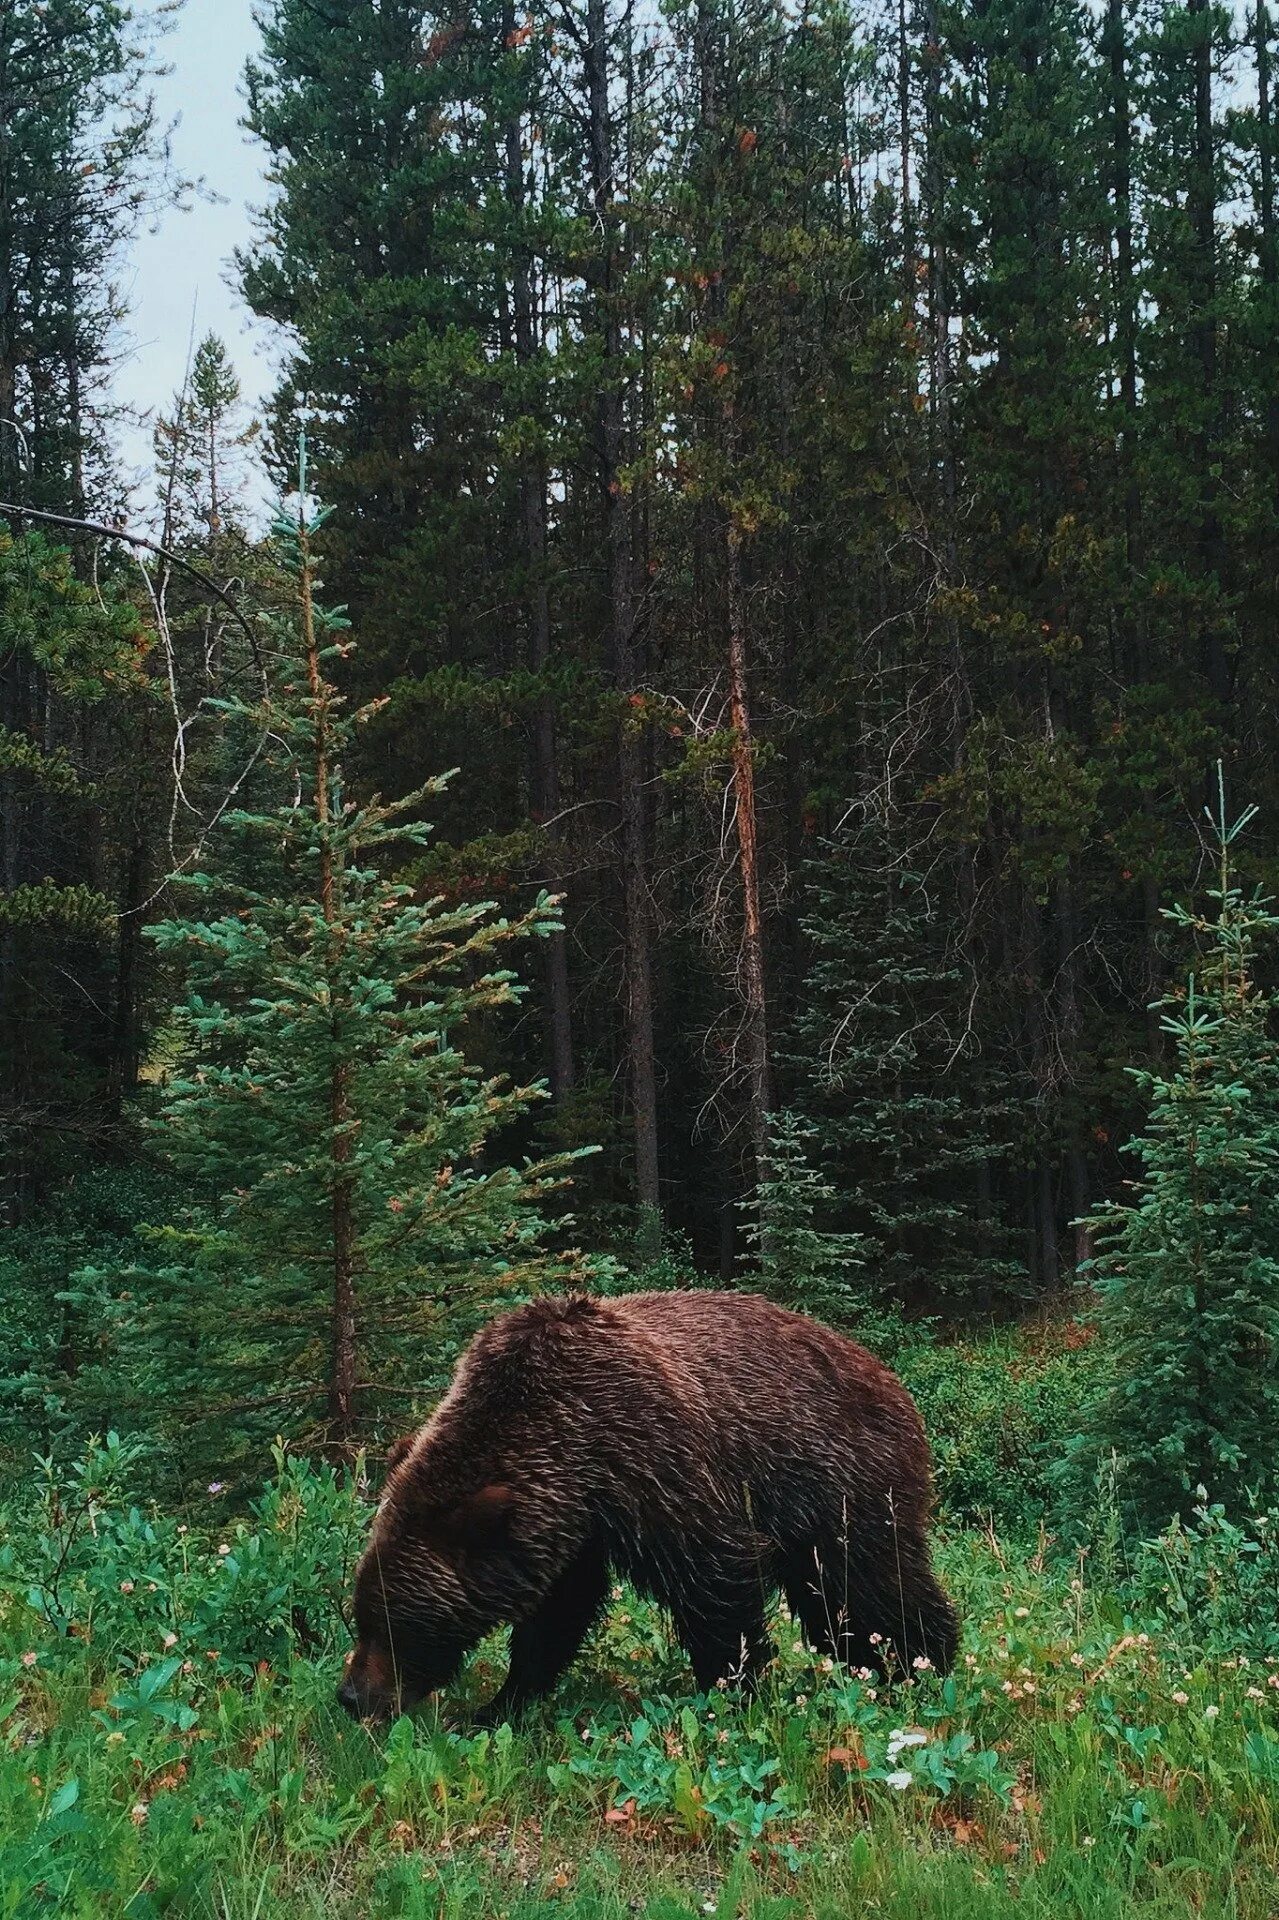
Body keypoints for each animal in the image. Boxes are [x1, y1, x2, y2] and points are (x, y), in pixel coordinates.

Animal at [337, 1290, 956, 1728]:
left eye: (391, 1621)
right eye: (360, 1612)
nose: (351, 1695)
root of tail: (892, 1380)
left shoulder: (654, 1460)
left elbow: (715, 1582)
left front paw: (733, 1692)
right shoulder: (573, 1525)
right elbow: (558, 1614)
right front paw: (499, 1705)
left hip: (839, 1482)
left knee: (871, 1585)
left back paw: (924, 1668)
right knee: (834, 1610)